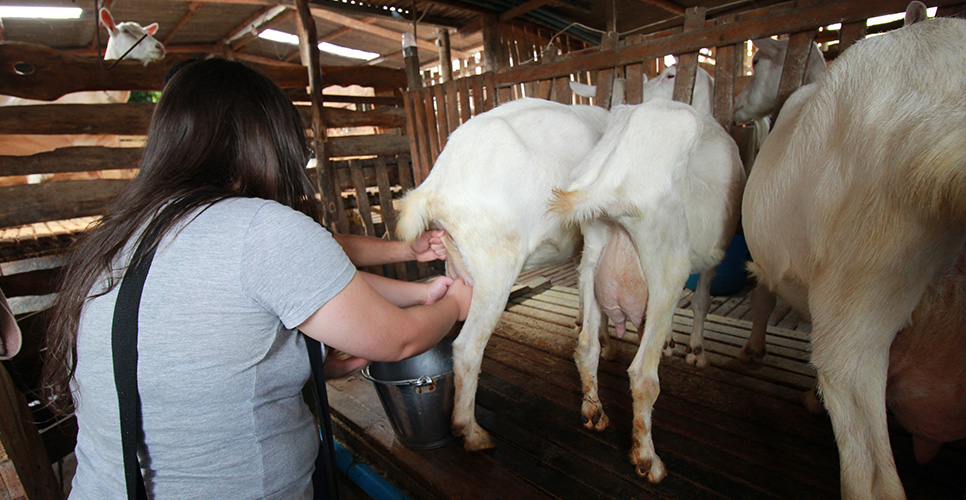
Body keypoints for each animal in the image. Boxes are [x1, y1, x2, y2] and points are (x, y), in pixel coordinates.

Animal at [398, 96, 608, 450]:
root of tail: (433, 187)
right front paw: (594, 411)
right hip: (496, 268)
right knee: (467, 347)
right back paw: (471, 432)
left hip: (458, 265)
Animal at [548, 97, 744, 480]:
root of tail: (611, 180)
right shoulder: (712, 258)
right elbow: (702, 300)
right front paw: (696, 352)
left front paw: (671, 343)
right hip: (667, 265)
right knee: (642, 375)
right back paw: (647, 460)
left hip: (592, 255)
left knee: (586, 347)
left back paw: (594, 413)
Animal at [744, 15, 964, 500]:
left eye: (756, 63)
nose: (738, 109)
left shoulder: (769, 267)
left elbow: (762, 301)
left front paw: (755, 351)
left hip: (861, 280)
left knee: (871, 475)